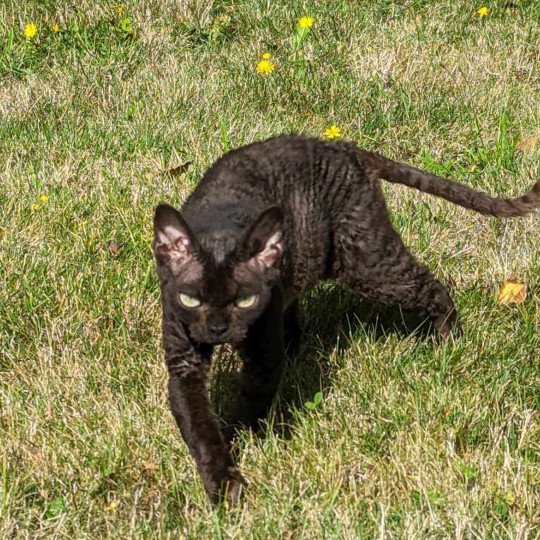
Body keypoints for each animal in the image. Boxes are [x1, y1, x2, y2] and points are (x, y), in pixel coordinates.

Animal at [153, 135, 540, 506]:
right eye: (190, 299)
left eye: (244, 300)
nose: (218, 329)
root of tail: (342, 145)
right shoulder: (183, 361)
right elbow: (199, 427)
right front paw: (221, 482)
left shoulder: (262, 357)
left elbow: (248, 405)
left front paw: (234, 449)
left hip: (366, 261)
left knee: (430, 285)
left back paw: (450, 341)